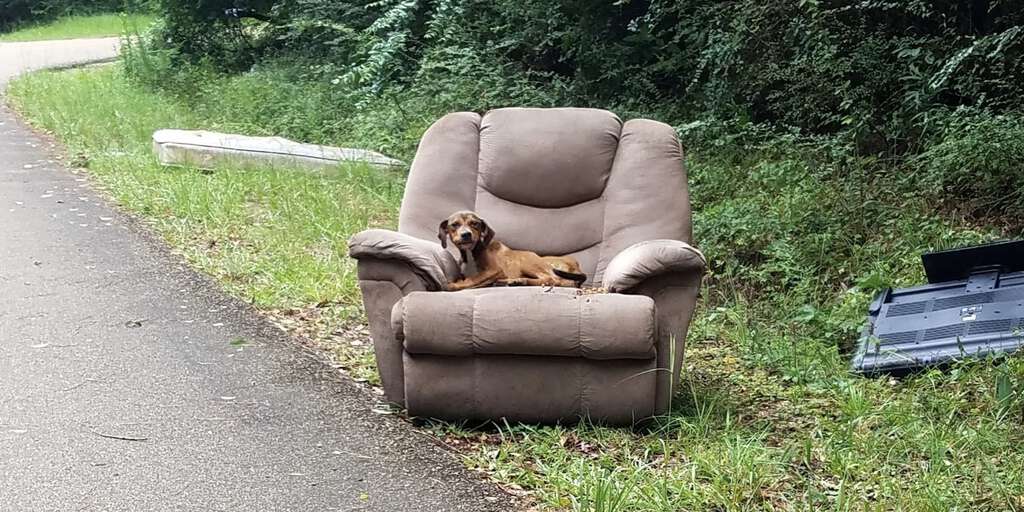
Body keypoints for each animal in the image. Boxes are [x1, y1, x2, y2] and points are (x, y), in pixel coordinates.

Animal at [438, 210, 589, 292]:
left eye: (474, 223)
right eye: (454, 225)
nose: (466, 235)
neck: (471, 252)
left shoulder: (495, 270)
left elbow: (472, 279)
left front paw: (453, 285)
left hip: (526, 261)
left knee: (551, 279)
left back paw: (519, 281)